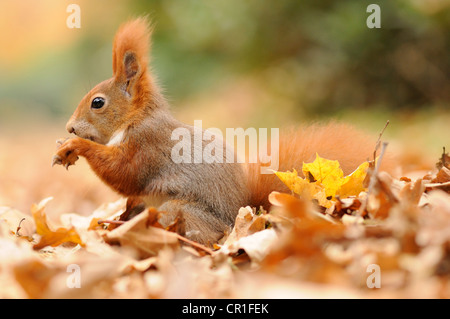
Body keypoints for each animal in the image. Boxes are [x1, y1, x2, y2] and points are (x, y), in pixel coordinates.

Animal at [51, 18, 392, 245]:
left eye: (97, 103)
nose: (70, 126)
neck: (136, 119)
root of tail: (240, 218)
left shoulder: (148, 145)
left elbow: (125, 173)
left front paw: (74, 146)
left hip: (180, 210)